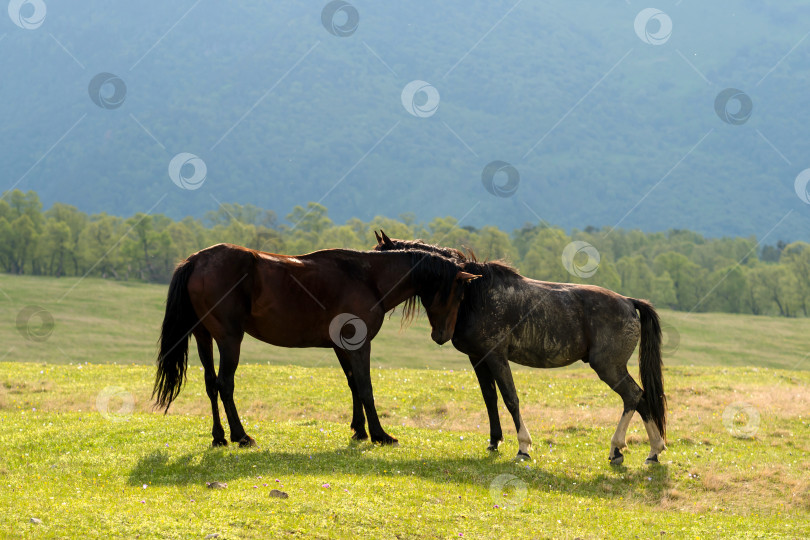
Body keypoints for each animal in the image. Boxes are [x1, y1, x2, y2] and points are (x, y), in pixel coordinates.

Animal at [152, 244, 476, 448]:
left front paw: (359, 431)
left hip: (203, 336)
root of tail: (195, 260)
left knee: (210, 384)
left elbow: (353, 385)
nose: (442, 336)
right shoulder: (359, 346)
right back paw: (241, 436)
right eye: (460, 294)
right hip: (230, 339)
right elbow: (366, 388)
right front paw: (380, 434)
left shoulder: (341, 347)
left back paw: (219, 436)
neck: (367, 277)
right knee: (225, 384)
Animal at [372, 231, 664, 464]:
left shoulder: (497, 356)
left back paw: (617, 449)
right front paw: (494, 441)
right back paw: (654, 451)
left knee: (633, 396)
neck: (473, 294)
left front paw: (523, 447)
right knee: (642, 399)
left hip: (608, 367)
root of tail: (629, 302)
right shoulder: (478, 358)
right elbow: (490, 398)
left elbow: (511, 398)